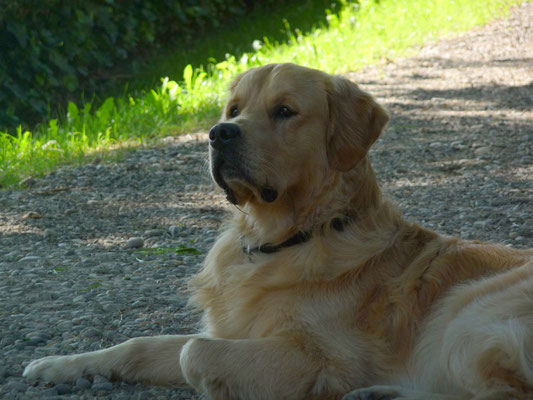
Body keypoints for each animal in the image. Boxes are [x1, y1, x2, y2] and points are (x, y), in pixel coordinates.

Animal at [23, 63, 532, 400]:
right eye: (233, 109)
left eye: (284, 110)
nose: (219, 133)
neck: (280, 240)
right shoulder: (231, 328)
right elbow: (143, 345)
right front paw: (58, 365)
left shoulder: (321, 356)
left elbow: (194, 352)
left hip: (465, 319)